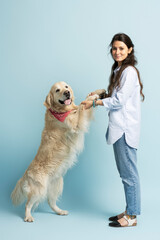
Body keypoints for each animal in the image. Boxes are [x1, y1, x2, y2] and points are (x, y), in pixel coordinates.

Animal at [11, 81, 106, 222]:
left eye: (66, 87)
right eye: (57, 90)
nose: (67, 93)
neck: (61, 111)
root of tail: (25, 175)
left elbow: (81, 104)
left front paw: (97, 92)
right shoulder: (75, 124)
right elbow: (82, 105)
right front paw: (92, 97)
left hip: (56, 184)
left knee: (51, 202)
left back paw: (60, 211)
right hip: (39, 189)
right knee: (28, 204)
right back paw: (28, 216)